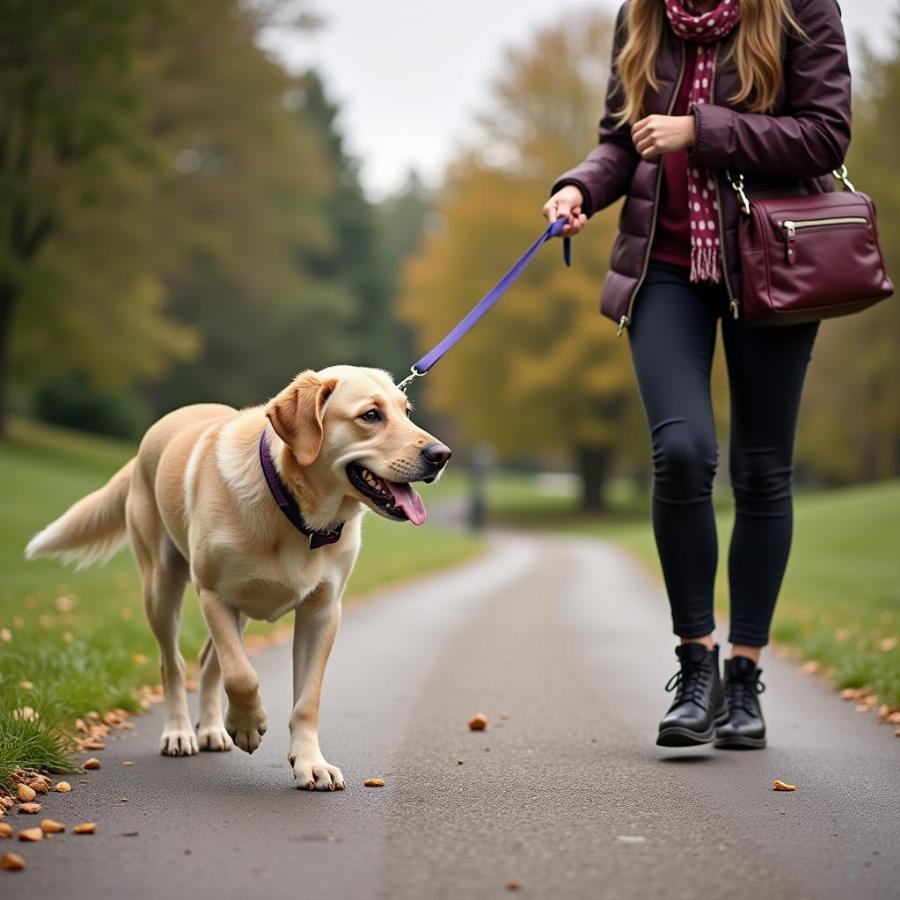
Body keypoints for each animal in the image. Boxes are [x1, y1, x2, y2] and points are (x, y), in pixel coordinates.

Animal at [26, 366, 450, 788]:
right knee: (174, 664)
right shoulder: (214, 594)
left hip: (241, 608)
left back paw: (213, 729)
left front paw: (310, 762)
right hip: (163, 587)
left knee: (206, 661)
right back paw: (180, 732)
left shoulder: (323, 612)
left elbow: (306, 699)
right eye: (371, 415)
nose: (441, 455)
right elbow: (242, 675)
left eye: (406, 412)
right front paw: (247, 725)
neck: (295, 513)